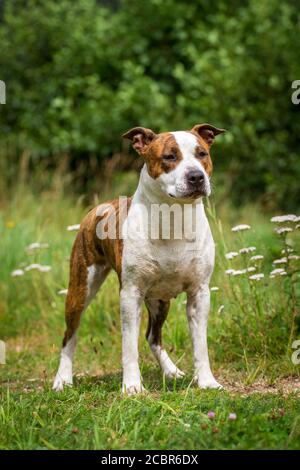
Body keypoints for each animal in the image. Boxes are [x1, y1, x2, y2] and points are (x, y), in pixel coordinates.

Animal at [52, 124, 225, 392]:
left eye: (202, 154)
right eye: (169, 156)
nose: (196, 176)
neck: (173, 218)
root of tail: (100, 206)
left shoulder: (200, 293)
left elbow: (200, 345)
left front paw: (206, 381)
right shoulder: (130, 294)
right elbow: (129, 347)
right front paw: (132, 387)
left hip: (160, 300)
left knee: (153, 336)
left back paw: (171, 371)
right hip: (80, 289)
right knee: (69, 335)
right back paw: (62, 379)